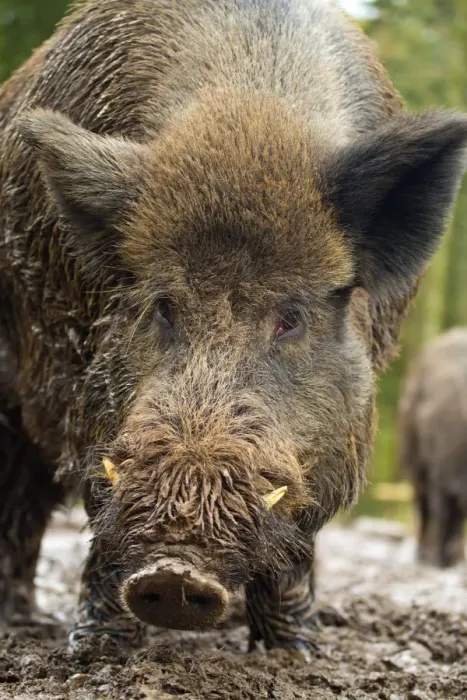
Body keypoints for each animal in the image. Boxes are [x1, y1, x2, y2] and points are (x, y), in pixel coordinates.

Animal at [399, 328, 467, 568]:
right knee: (425, 506)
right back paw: (425, 555)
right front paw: (437, 559)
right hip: (415, 461)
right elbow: (442, 512)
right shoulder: (440, 472)